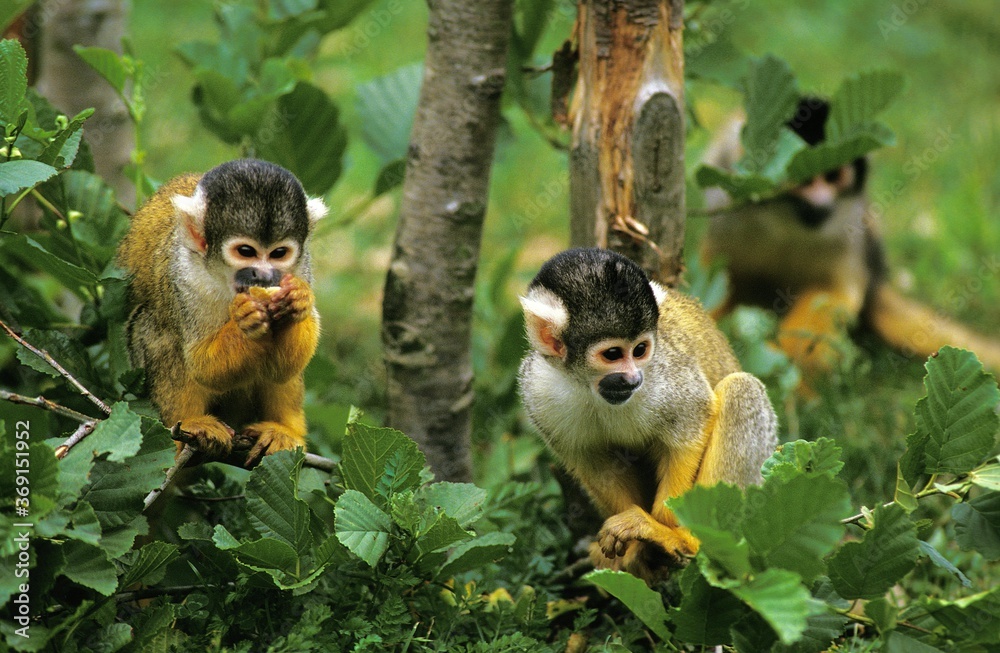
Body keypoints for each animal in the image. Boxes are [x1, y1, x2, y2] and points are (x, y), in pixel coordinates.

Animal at [117, 159, 327, 466]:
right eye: (245, 251)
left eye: (279, 253)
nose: (264, 276)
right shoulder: (185, 276)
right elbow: (202, 365)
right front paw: (246, 321)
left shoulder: (302, 267)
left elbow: (286, 366)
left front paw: (297, 302)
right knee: (159, 331)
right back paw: (191, 423)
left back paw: (285, 431)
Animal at [518, 248, 778, 581]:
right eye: (613, 354)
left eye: (640, 350)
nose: (633, 378)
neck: (588, 387)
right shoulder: (539, 392)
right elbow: (595, 463)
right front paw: (631, 549)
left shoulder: (666, 375)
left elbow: (691, 425)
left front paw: (657, 529)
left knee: (741, 391)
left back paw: (692, 540)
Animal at [701, 97, 1000, 379]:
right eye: (804, 179)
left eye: (833, 176)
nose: (822, 204)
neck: (782, 223)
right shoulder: (724, 199)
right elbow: (713, 274)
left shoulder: (848, 224)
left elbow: (835, 290)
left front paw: (784, 361)